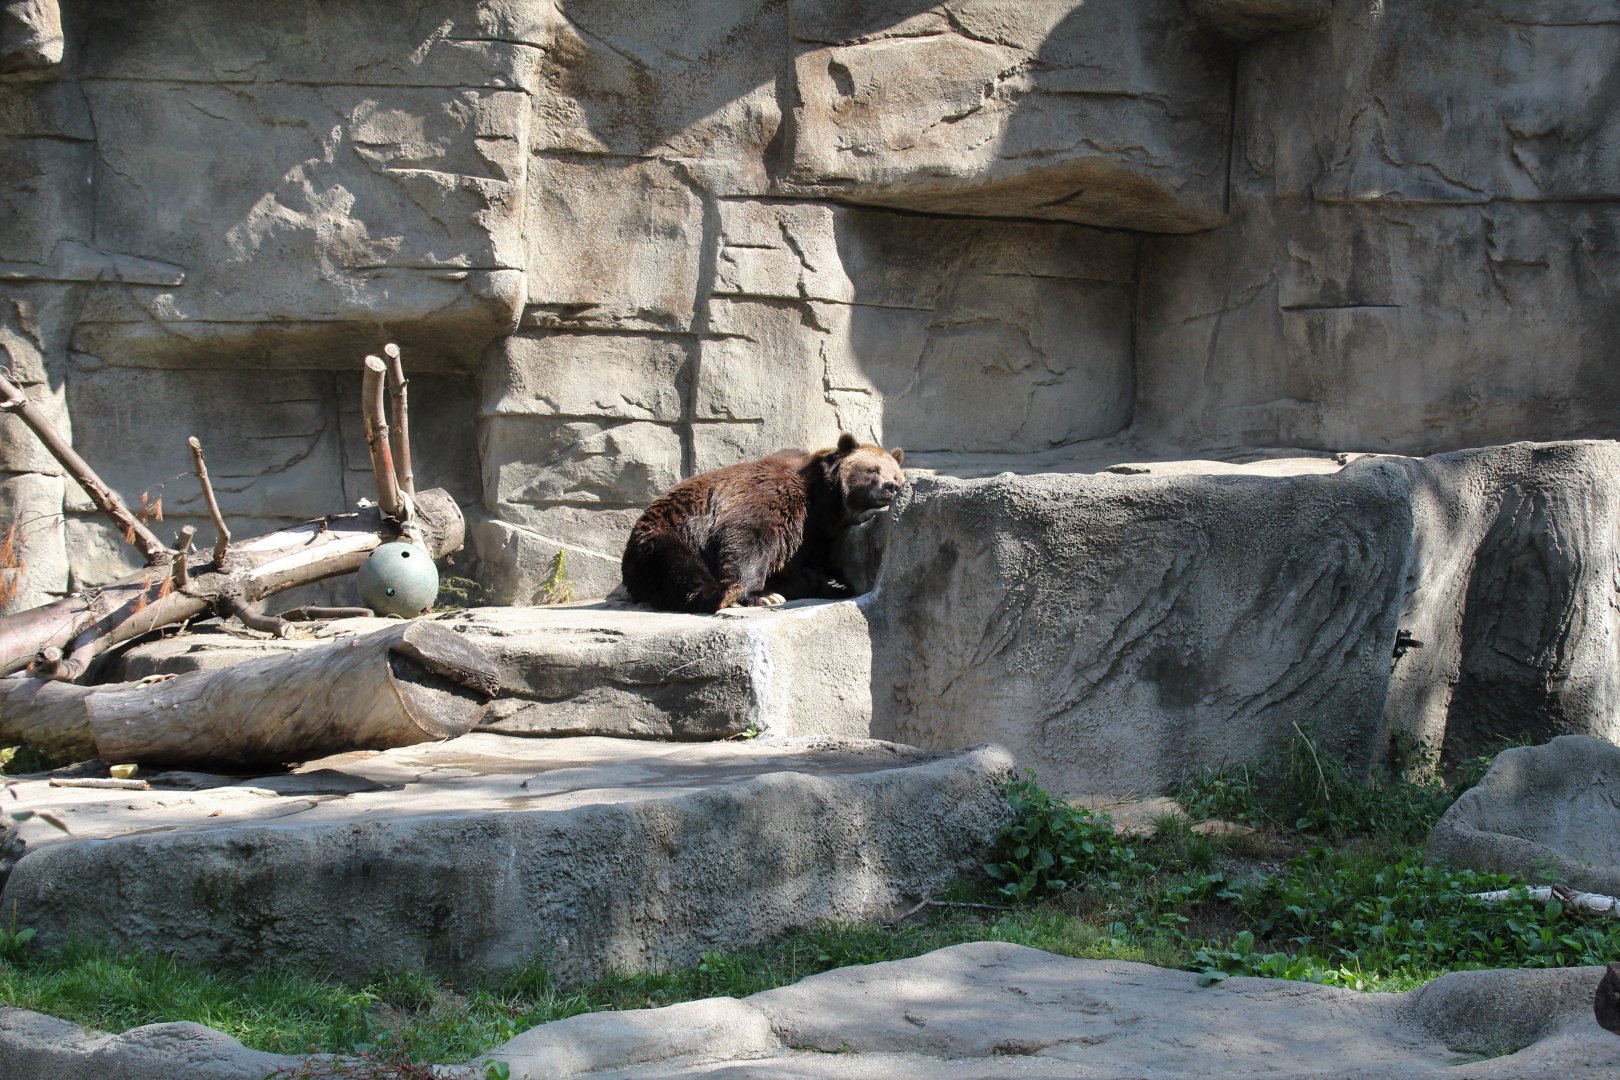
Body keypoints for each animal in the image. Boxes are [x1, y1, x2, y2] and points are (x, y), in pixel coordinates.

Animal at [621, 433, 905, 613]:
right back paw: (724, 593)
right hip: (670, 532)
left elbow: (807, 560)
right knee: (678, 567)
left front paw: (834, 581)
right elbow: (748, 539)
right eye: (873, 470)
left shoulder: (815, 530)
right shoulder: (773, 496)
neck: (824, 499)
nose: (891, 486)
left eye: (896, 475)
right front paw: (762, 594)